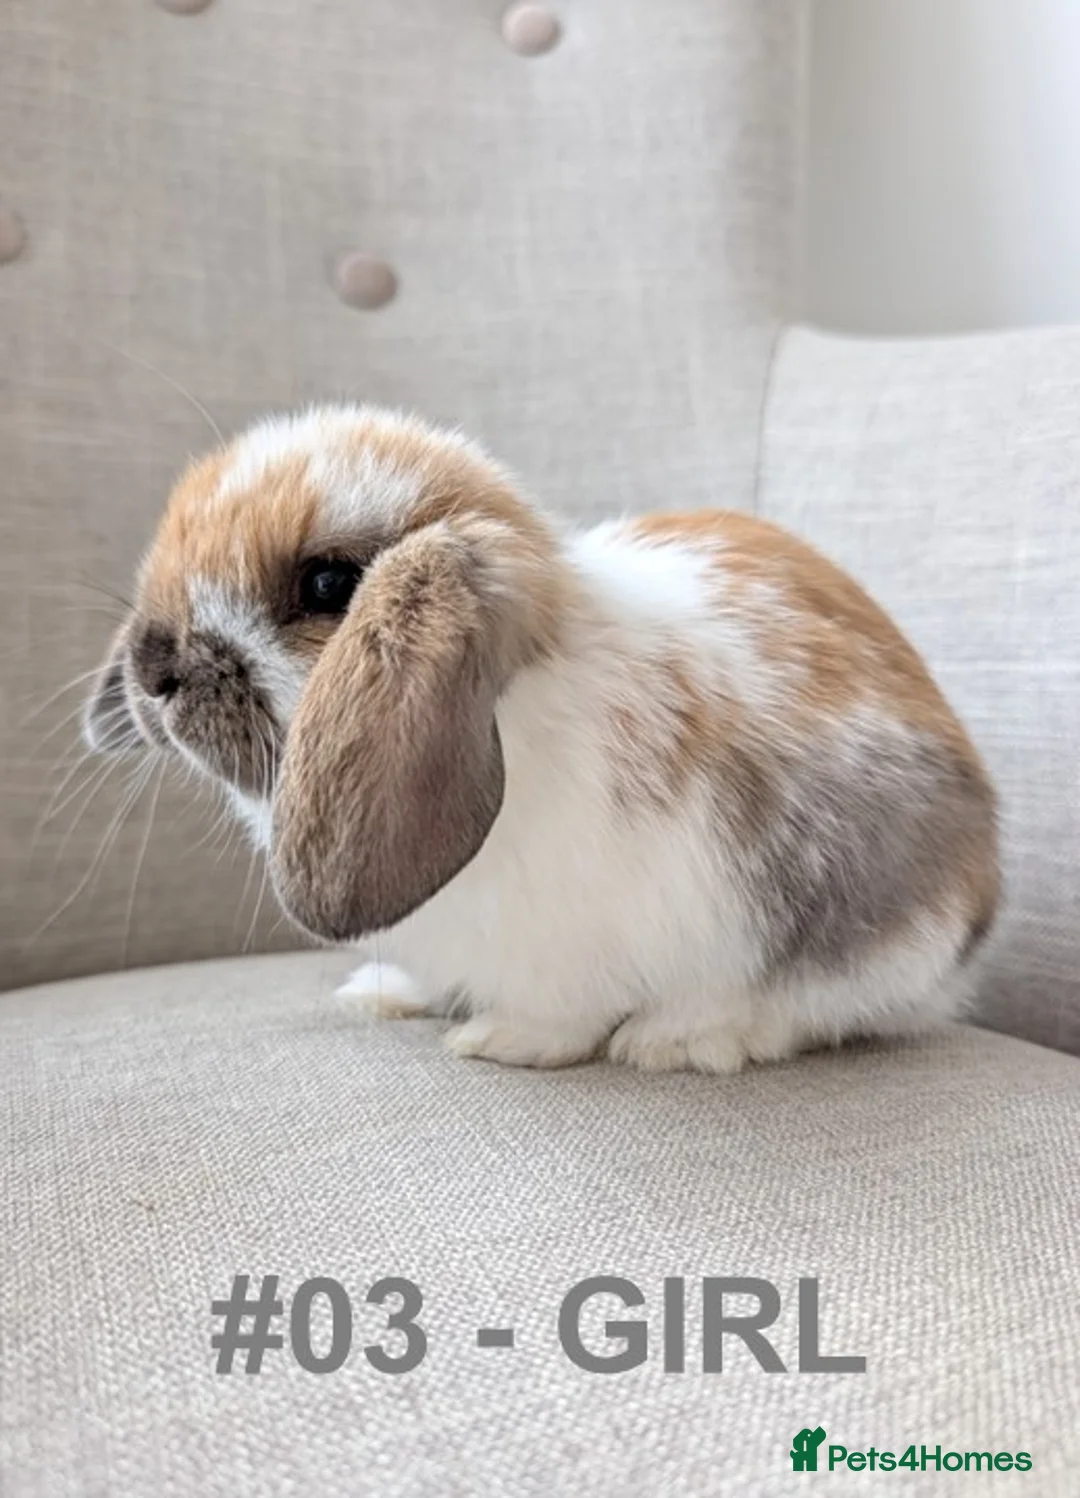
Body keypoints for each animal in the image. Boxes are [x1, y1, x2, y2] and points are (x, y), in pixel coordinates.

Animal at [83, 404, 999, 1072]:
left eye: (329, 584)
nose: (152, 666)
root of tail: (971, 925)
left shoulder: (589, 938)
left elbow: (561, 1013)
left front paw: (497, 1041)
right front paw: (384, 993)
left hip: (859, 928)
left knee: (816, 1009)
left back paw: (679, 1040)